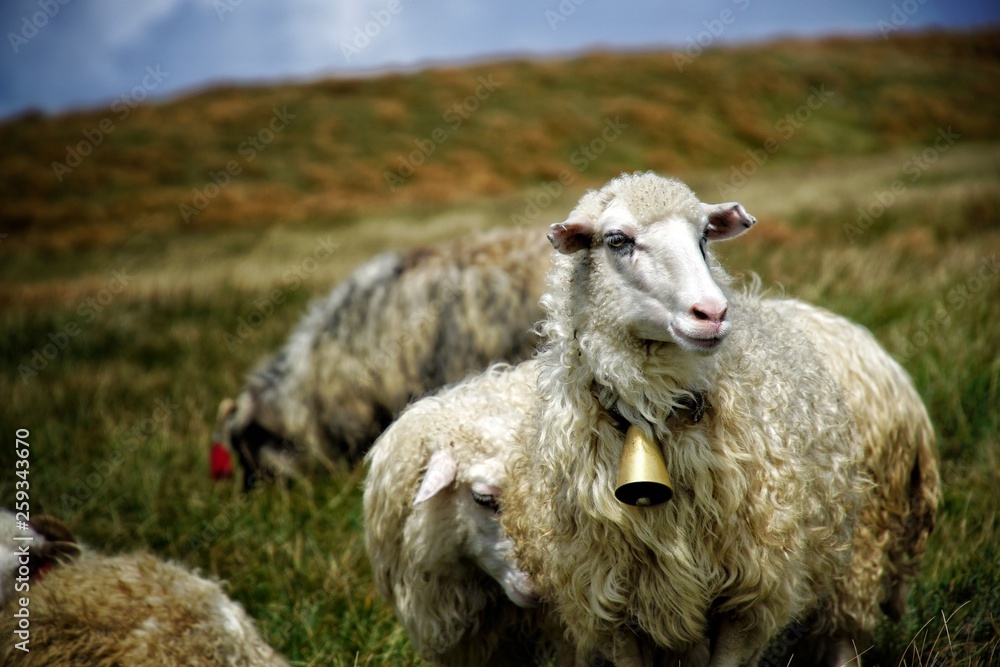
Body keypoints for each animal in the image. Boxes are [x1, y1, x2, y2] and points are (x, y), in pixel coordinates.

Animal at [502, 172, 873, 666]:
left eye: (703, 238)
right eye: (617, 240)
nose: (712, 313)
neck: (653, 414)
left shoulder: (747, 590)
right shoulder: (611, 603)